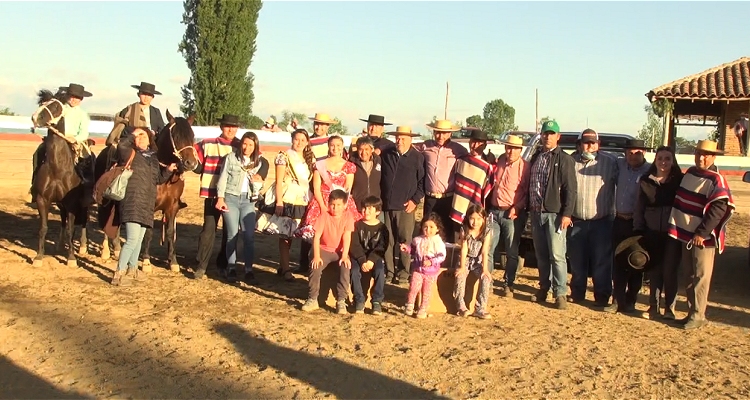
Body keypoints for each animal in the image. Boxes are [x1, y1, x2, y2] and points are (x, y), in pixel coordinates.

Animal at [30, 89, 97, 268]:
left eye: (55, 106)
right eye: (42, 104)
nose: (35, 117)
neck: (57, 168)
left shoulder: (72, 202)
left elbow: (71, 229)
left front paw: (72, 258)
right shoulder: (42, 199)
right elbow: (43, 228)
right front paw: (39, 257)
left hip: (83, 203)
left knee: (83, 222)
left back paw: (83, 247)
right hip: (60, 203)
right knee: (62, 219)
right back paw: (60, 244)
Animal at [95, 111, 198, 274]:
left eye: (192, 135)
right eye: (176, 136)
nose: (191, 163)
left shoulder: (172, 207)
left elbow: (170, 232)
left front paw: (173, 262)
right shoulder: (150, 206)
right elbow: (148, 233)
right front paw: (146, 261)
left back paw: (117, 249)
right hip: (106, 201)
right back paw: (105, 251)